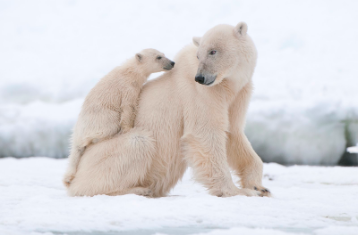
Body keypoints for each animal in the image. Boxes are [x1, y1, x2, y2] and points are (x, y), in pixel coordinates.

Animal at [63, 49, 176, 187]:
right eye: (158, 57)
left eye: (163, 54)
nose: (172, 62)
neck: (130, 71)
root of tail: (77, 133)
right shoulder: (127, 88)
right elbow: (128, 108)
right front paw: (128, 129)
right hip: (101, 119)